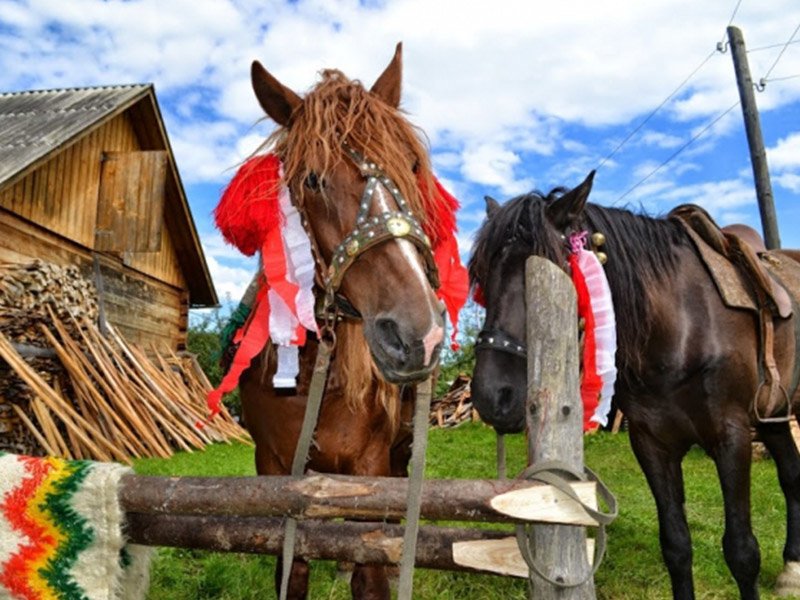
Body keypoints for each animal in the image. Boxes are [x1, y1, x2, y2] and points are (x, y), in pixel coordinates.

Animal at [238, 47, 450, 600]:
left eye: (412, 163)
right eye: (312, 180)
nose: (418, 332)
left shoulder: (369, 465)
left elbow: (369, 572)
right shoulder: (274, 472)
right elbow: (294, 567)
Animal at [468, 170, 800, 600]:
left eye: (548, 272)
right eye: (481, 278)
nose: (491, 396)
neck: (684, 327)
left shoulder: (733, 437)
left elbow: (742, 551)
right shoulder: (652, 444)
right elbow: (676, 546)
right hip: (774, 415)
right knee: (791, 474)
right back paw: (792, 567)